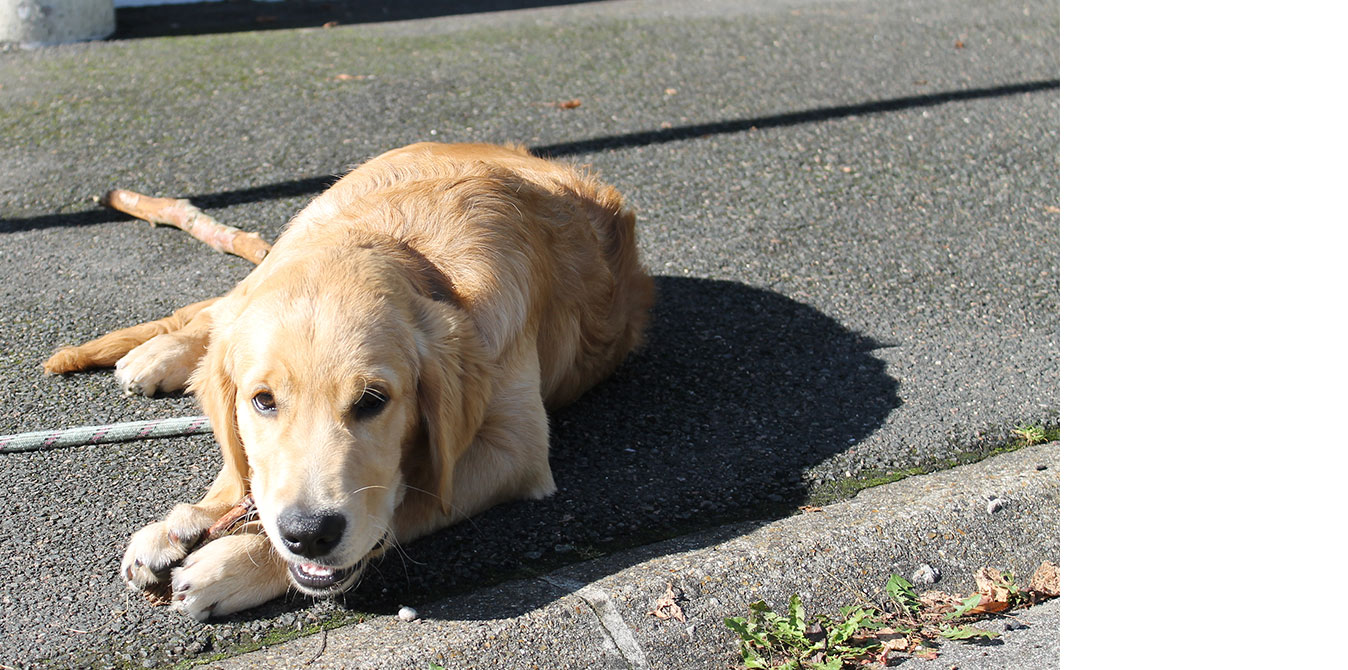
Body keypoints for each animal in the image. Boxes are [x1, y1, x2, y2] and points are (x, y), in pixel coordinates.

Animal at [42, 142, 652, 622]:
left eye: (373, 401)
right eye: (263, 401)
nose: (308, 534)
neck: (412, 251)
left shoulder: (515, 450)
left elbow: (409, 496)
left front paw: (230, 561)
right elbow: (244, 474)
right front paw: (187, 522)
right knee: (218, 312)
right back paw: (161, 355)